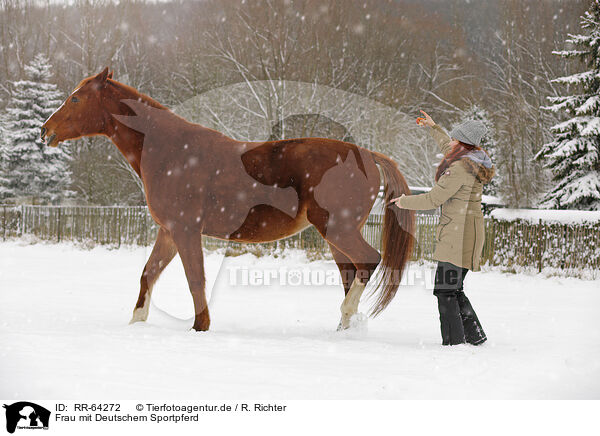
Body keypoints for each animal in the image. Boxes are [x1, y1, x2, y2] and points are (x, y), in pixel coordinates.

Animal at [39, 67, 414, 330]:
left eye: (76, 98)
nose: (45, 131)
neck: (170, 152)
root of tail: (367, 155)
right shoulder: (168, 231)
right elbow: (149, 273)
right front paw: (136, 323)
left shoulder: (186, 230)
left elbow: (195, 279)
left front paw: (200, 327)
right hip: (335, 236)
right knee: (350, 273)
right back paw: (343, 328)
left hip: (338, 230)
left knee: (367, 261)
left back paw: (345, 316)